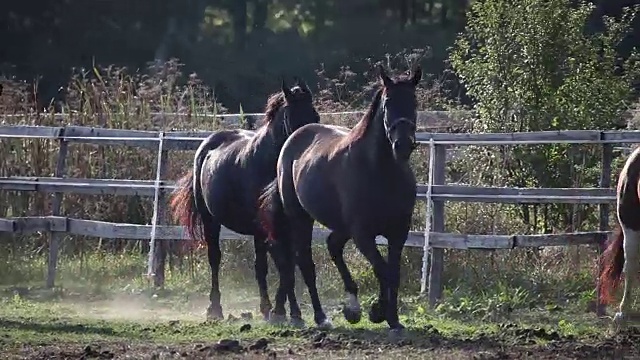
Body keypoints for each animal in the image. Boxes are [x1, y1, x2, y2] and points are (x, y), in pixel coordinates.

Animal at [170, 79, 320, 326]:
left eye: (315, 115)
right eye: (292, 117)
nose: (307, 148)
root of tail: (207, 145)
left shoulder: (284, 225)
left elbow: (286, 265)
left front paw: (286, 312)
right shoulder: (271, 228)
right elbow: (284, 265)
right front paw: (287, 312)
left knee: (260, 267)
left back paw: (265, 308)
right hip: (211, 221)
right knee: (215, 259)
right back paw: (215, 309)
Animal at [258, 64, 422, 334]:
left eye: (414, 102)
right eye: (388, 102)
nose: (402, 145)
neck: (381, 171)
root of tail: (295, 137)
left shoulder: (399, 232)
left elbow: (393, 273)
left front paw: (393, 319)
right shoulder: (362, 233)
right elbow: (382, 270)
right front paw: (378, 312)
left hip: (340, 226)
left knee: (331, 246)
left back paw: (349, 308)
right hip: (300, 218)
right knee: (303, 261)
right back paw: (318, 316)